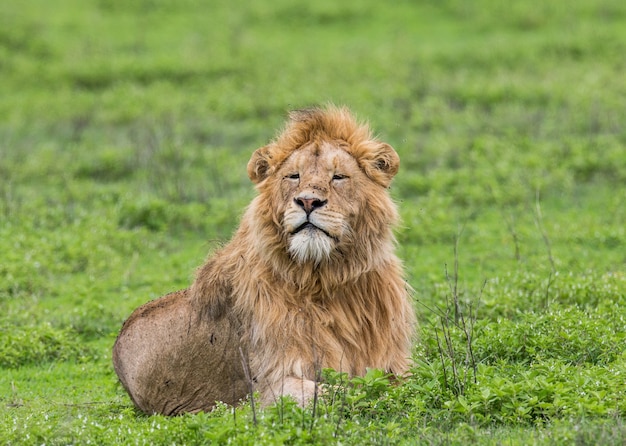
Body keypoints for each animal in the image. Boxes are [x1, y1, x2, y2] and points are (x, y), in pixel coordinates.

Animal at [112, 104, 414, 414]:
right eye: (293, 176)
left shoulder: (394, 363)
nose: (307, 201)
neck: (326, 278)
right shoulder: (269, 386)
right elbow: (350, 393)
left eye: (338, 177)